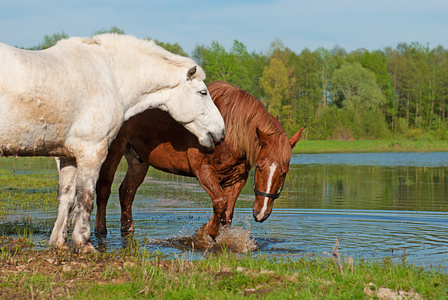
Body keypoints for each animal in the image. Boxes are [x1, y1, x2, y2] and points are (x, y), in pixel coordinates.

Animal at [0, 32, 226, 253]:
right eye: (202, 93)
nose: (221, 132)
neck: (110, 76)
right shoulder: (92, 151)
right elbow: (86, 198)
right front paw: (84, 245)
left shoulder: (67, 157)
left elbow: (67, 198)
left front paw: (60, 243)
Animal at [96, 81, 302, 238]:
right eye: (259, 167)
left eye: (284, 173)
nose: (261, 214)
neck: (229, 132)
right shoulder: (203, 171)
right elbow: (220, 203)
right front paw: (207, 233)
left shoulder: (236, 179)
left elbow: (227, 213)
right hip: (113, 151)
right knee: (104, 189)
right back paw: (100, 231)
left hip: (138, 160)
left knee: (126, 192)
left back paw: (127, 230)